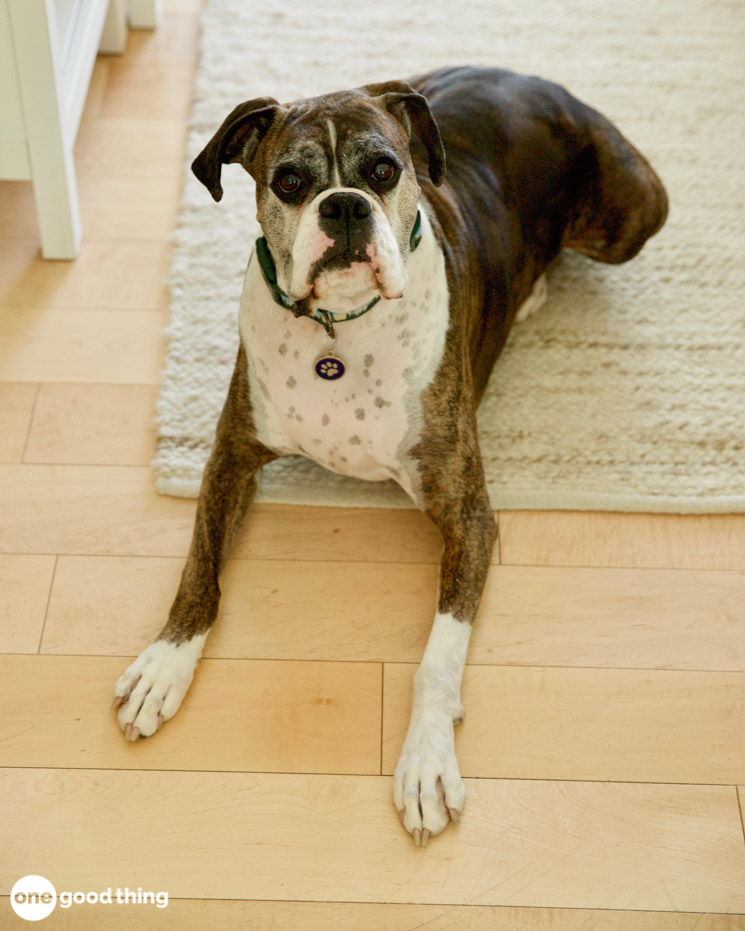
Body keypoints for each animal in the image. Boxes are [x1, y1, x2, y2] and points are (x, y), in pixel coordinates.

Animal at [112, 69, 668, 848]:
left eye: (383, 171)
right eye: (288, 181)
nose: (344, 206)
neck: (338, 334)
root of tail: (538, 81)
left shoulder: (468, 515)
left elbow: (438, 657)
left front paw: (427, 762)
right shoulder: (230, 460)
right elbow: (200, 572)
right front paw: (165, 663)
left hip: (628, 217)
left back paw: (532, 292)